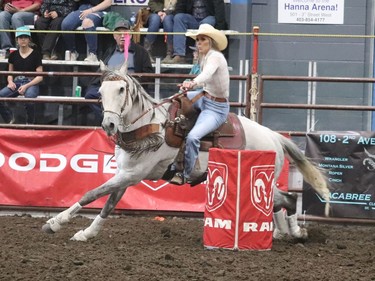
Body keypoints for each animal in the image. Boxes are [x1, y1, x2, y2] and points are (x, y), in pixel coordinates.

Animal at [41, 63, 328, 241]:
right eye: (101, 91)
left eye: (121, 89)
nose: (108, 125)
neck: (149, 127)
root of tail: (274, 137)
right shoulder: (127, 175)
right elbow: (108, 204)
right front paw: (86, 233)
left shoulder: (132, 175)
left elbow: (91, 193)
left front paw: (55, 222)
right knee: (282, 201)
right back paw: (282, 233)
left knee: (288, 199)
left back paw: (297, 233)